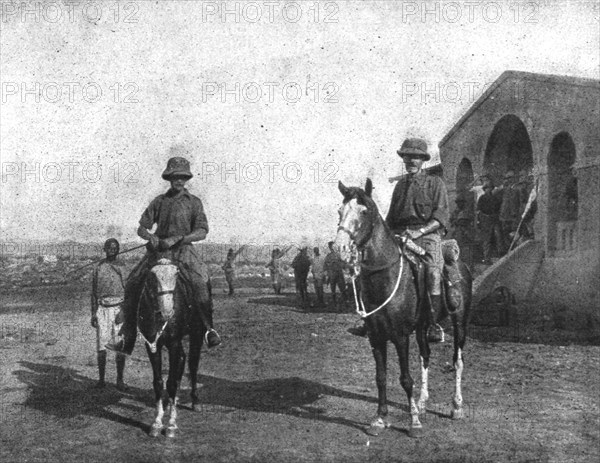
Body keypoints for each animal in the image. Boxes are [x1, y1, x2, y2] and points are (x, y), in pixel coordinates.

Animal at [137, 256, 210, 436]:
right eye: (152, 276)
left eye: (176, 274)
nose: (167, 312)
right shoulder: (152, 345)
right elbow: (158, 382)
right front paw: (157, 423)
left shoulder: (174, 343)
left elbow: (170, 382)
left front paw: (170, 424)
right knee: (182, 361)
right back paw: (172, 401)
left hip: (197, 332)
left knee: (192, 363)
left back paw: (195, 400)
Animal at [336, 179, 472, 438]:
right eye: (340, 211)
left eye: (364, 211)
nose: (340, 248)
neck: (385, 277)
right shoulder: (376, 337)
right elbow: (380, 377)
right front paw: (380, 419)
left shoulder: (400, 337)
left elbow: (406, 379)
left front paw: (414, 423)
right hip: (422, 328)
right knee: (425, 356)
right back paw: (422, 402)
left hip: (459, 321)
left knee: (458, 360)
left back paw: (457, 407)